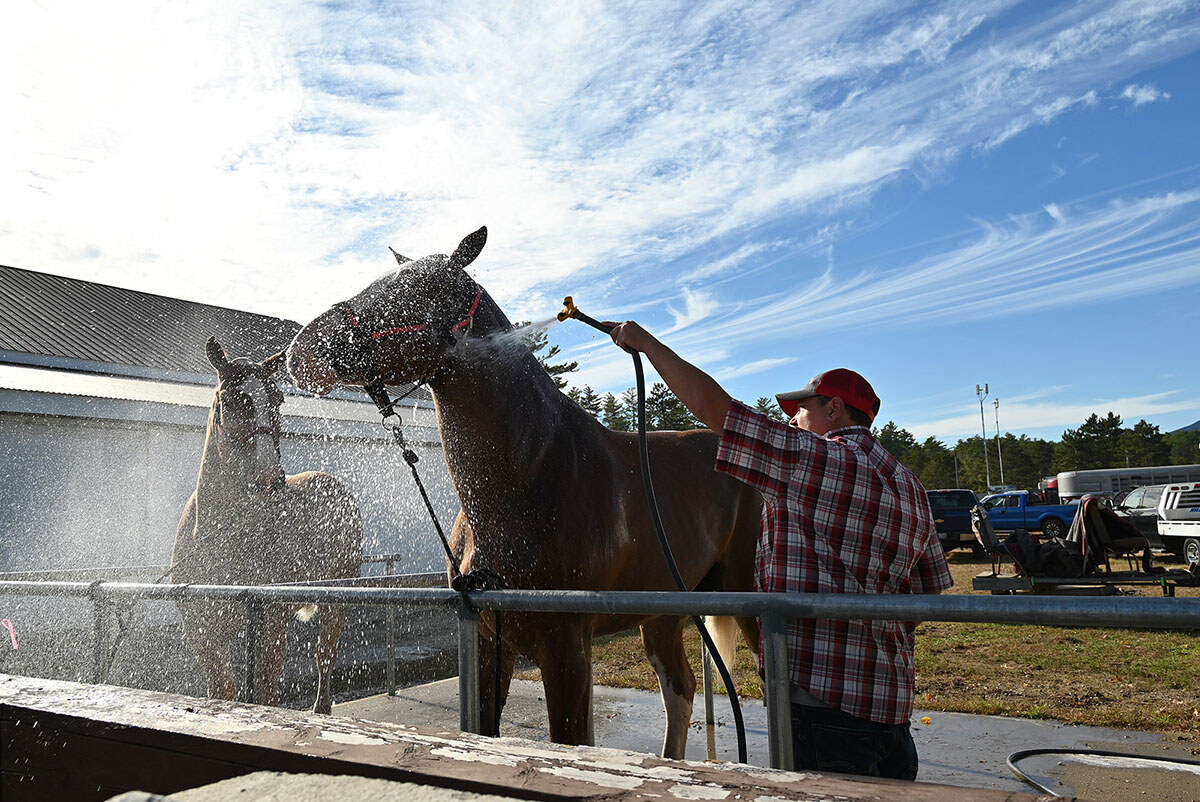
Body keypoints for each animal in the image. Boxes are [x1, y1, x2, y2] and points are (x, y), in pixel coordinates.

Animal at [171, 338, 362, 715]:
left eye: (277, 399)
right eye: (231, 399)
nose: (269, 479)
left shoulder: (270, 624)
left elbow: (266, 693)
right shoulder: (204, 632)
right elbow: (223, 691)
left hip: (336, 598)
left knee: (324, 656)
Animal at [283, 226, 758, 758]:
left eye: (415, 291)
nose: (299, 350)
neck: (533, 478)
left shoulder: (566, 646)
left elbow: (571, 737)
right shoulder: (489, 643)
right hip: (663, 611)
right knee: (679, 687)